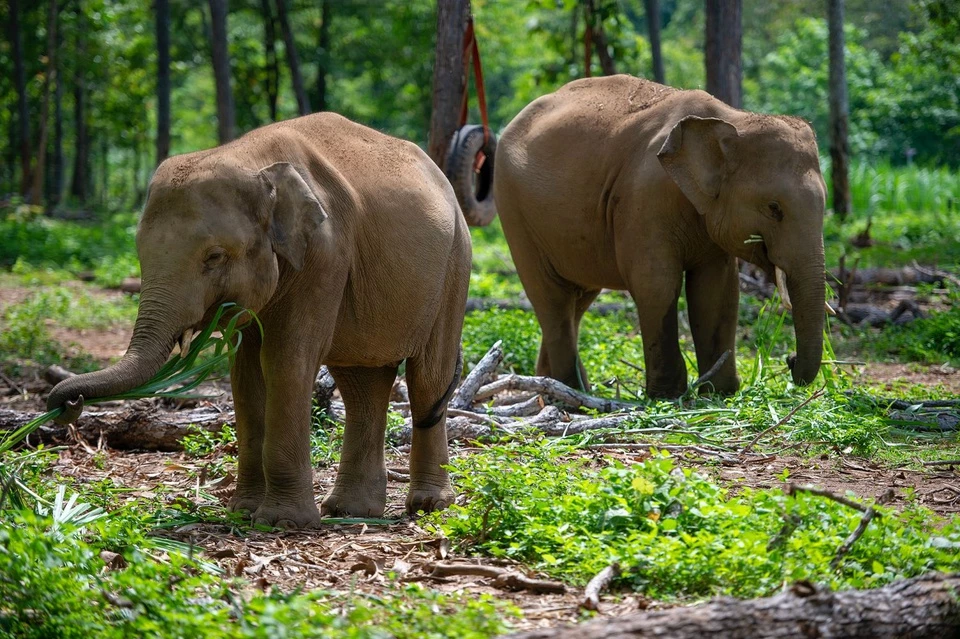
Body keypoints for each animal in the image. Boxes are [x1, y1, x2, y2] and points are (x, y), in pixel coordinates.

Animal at [45, 112, 472, 528]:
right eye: (139, 252)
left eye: (214, 257)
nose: (69, 403)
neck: (254, 161)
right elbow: (246, 372)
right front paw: (243, 511)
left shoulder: (325, 252)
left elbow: (285, 360)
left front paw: (283, 523)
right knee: (362, 385)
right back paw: (352, 511)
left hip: (456, 264)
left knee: (427, 378)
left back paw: (429, 506)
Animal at [496, 76, 832, 400]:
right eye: (774, 208)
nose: (789, 360)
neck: (733, 119)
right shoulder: (643, 200)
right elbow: (655, 283)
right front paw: (668, 396)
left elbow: (718, 290)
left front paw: (720, 392)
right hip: (514, 214)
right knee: (551, 298)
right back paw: (570, 391)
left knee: (577, 300)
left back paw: (553, 385)